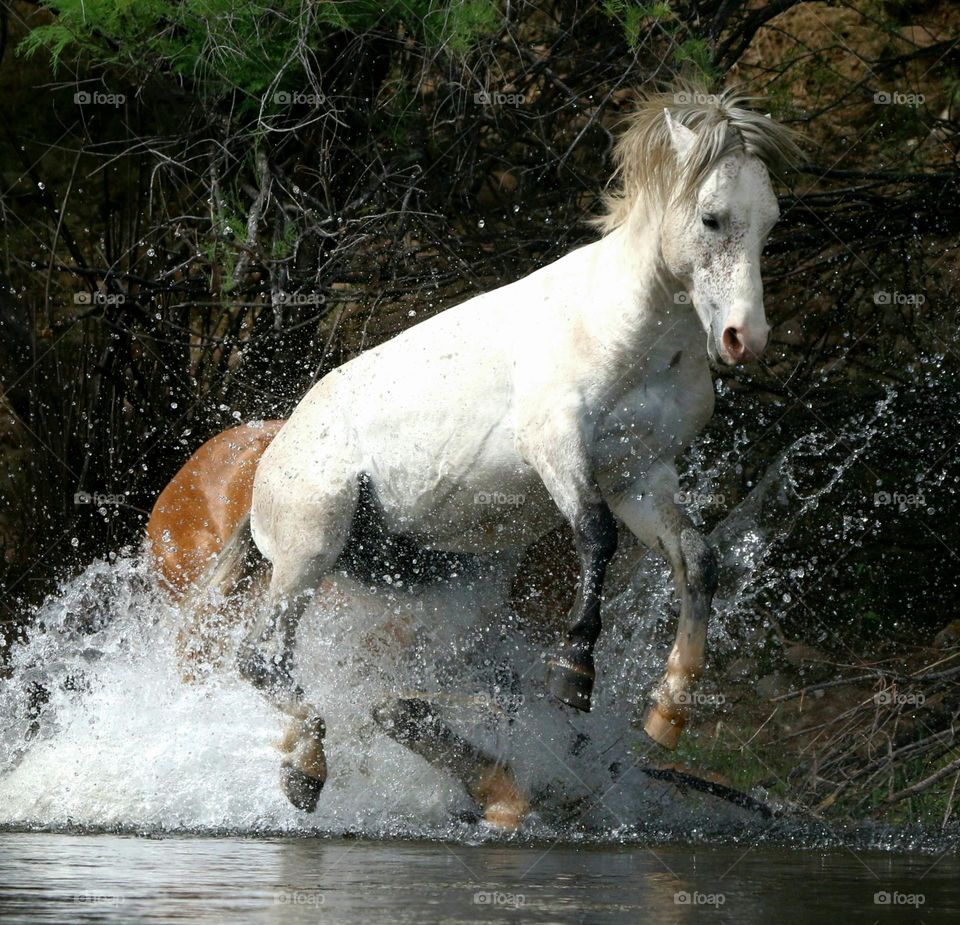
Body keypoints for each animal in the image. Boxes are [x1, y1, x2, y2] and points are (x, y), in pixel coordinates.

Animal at [182, 83, 802, 818]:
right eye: (711, 218)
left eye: (770, 224)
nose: (744, 339)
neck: (623, 334)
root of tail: (270, 459)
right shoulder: (557, 446)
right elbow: (594, 535)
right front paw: (574, 672)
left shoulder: (638, 477)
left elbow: (699, 559)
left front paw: (668, 710)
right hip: (310, 549)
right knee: (261, 659)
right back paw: (306, 772)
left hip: (433, 581)